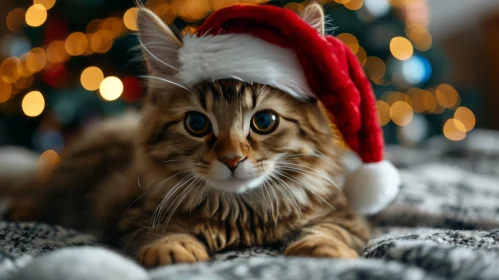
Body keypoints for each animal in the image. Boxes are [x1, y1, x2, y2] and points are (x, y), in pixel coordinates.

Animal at [0, 3, 372, 266]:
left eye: (264, 121)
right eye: (197, 124)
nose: (232, 159)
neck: (243, 214)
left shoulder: (344, 215)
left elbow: (333, 230)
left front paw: (320, 247)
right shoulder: (136, 212)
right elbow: (161, 230)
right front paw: (172, 248)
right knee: (43, 194)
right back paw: (21, 209)